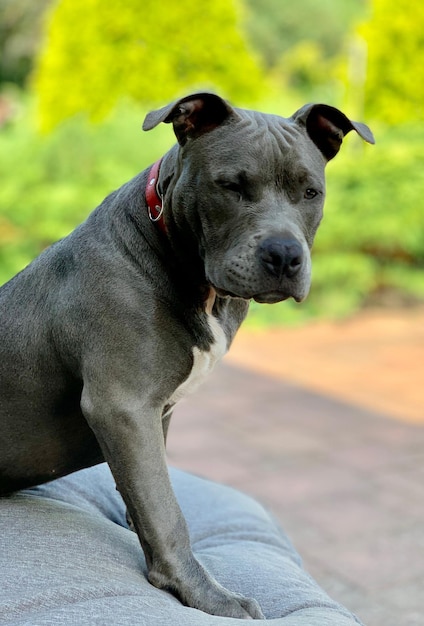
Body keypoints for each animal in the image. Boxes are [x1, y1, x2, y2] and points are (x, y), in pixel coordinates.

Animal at [0, 95, 372, 616]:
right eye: (231, 186)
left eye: (310, 192)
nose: (284, 255)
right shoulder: (123, 406)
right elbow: (167, 510)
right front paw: (208, 596)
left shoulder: (155, 414)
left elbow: (149, 492)